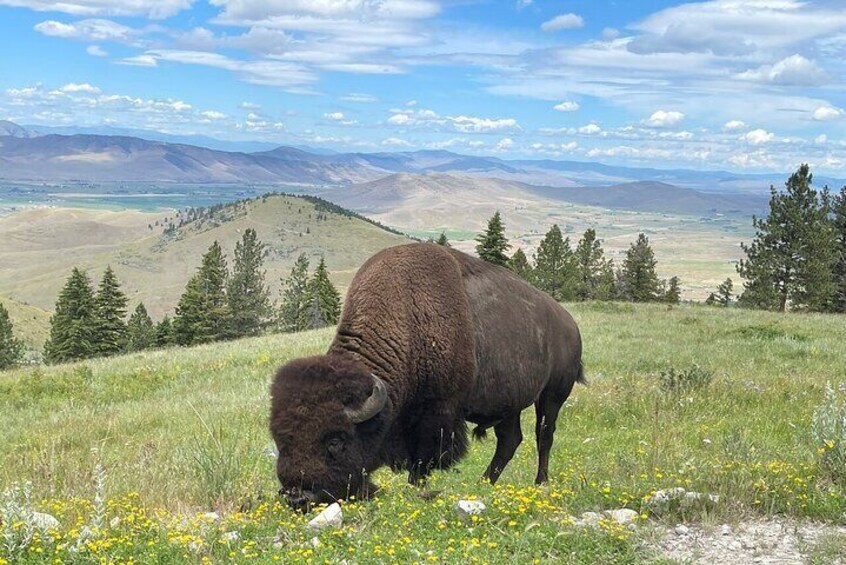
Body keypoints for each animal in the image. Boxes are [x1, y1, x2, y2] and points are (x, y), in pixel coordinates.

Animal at [272, 240, 584, 508]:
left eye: (335, 441)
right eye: (280, 440)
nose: (298, 497)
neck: (406, 319)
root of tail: (570, 323)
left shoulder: (437, 414)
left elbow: (423, 459)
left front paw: (417, 488)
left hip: (552, 396)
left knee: (544, 435)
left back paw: (540, 483)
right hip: (509, 406)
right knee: (510, 440)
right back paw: (483, 483)